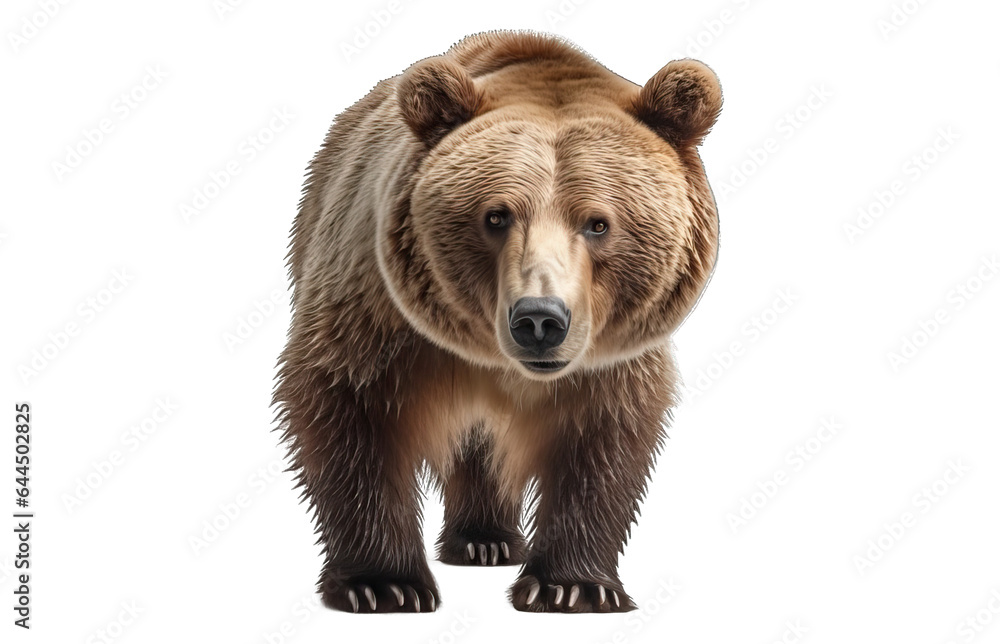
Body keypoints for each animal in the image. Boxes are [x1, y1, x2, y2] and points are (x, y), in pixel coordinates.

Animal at [273, 30, 722, 613]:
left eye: (598, 223)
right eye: (496, 215)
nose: (539, 320)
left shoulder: (610, 356)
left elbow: (603, 438)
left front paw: (573, 585)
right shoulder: (378, 313)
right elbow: (349, 406)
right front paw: (383, 583)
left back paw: (487, 538)